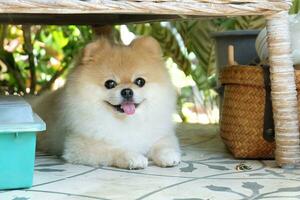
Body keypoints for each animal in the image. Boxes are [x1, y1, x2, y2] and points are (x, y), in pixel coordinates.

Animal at [34, 35, 182, 169]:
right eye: (110, 83)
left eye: (140, 81)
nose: (127, 91)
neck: (127, 122)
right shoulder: (80, 146)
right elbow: (115, 150)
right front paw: (134, 158)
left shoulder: (161, 135)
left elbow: (162, 145)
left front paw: (168, 156)